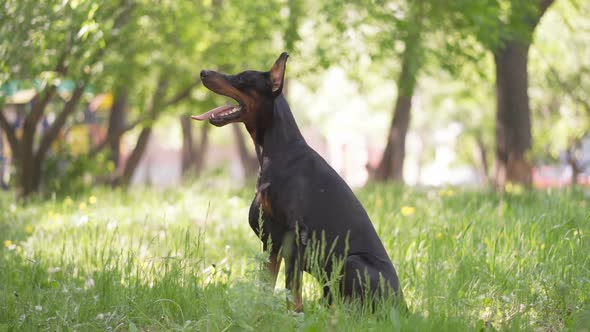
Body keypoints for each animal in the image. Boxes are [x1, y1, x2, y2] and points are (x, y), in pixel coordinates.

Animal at [192, 53, 404, 312]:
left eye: (242, 78)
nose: (203, 72)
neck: (276, 151)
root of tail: (404, 305)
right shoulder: (271, 239)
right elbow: (267, 283)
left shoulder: (294, 235)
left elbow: (292, 289)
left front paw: (292, 315)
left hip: (352, 262)